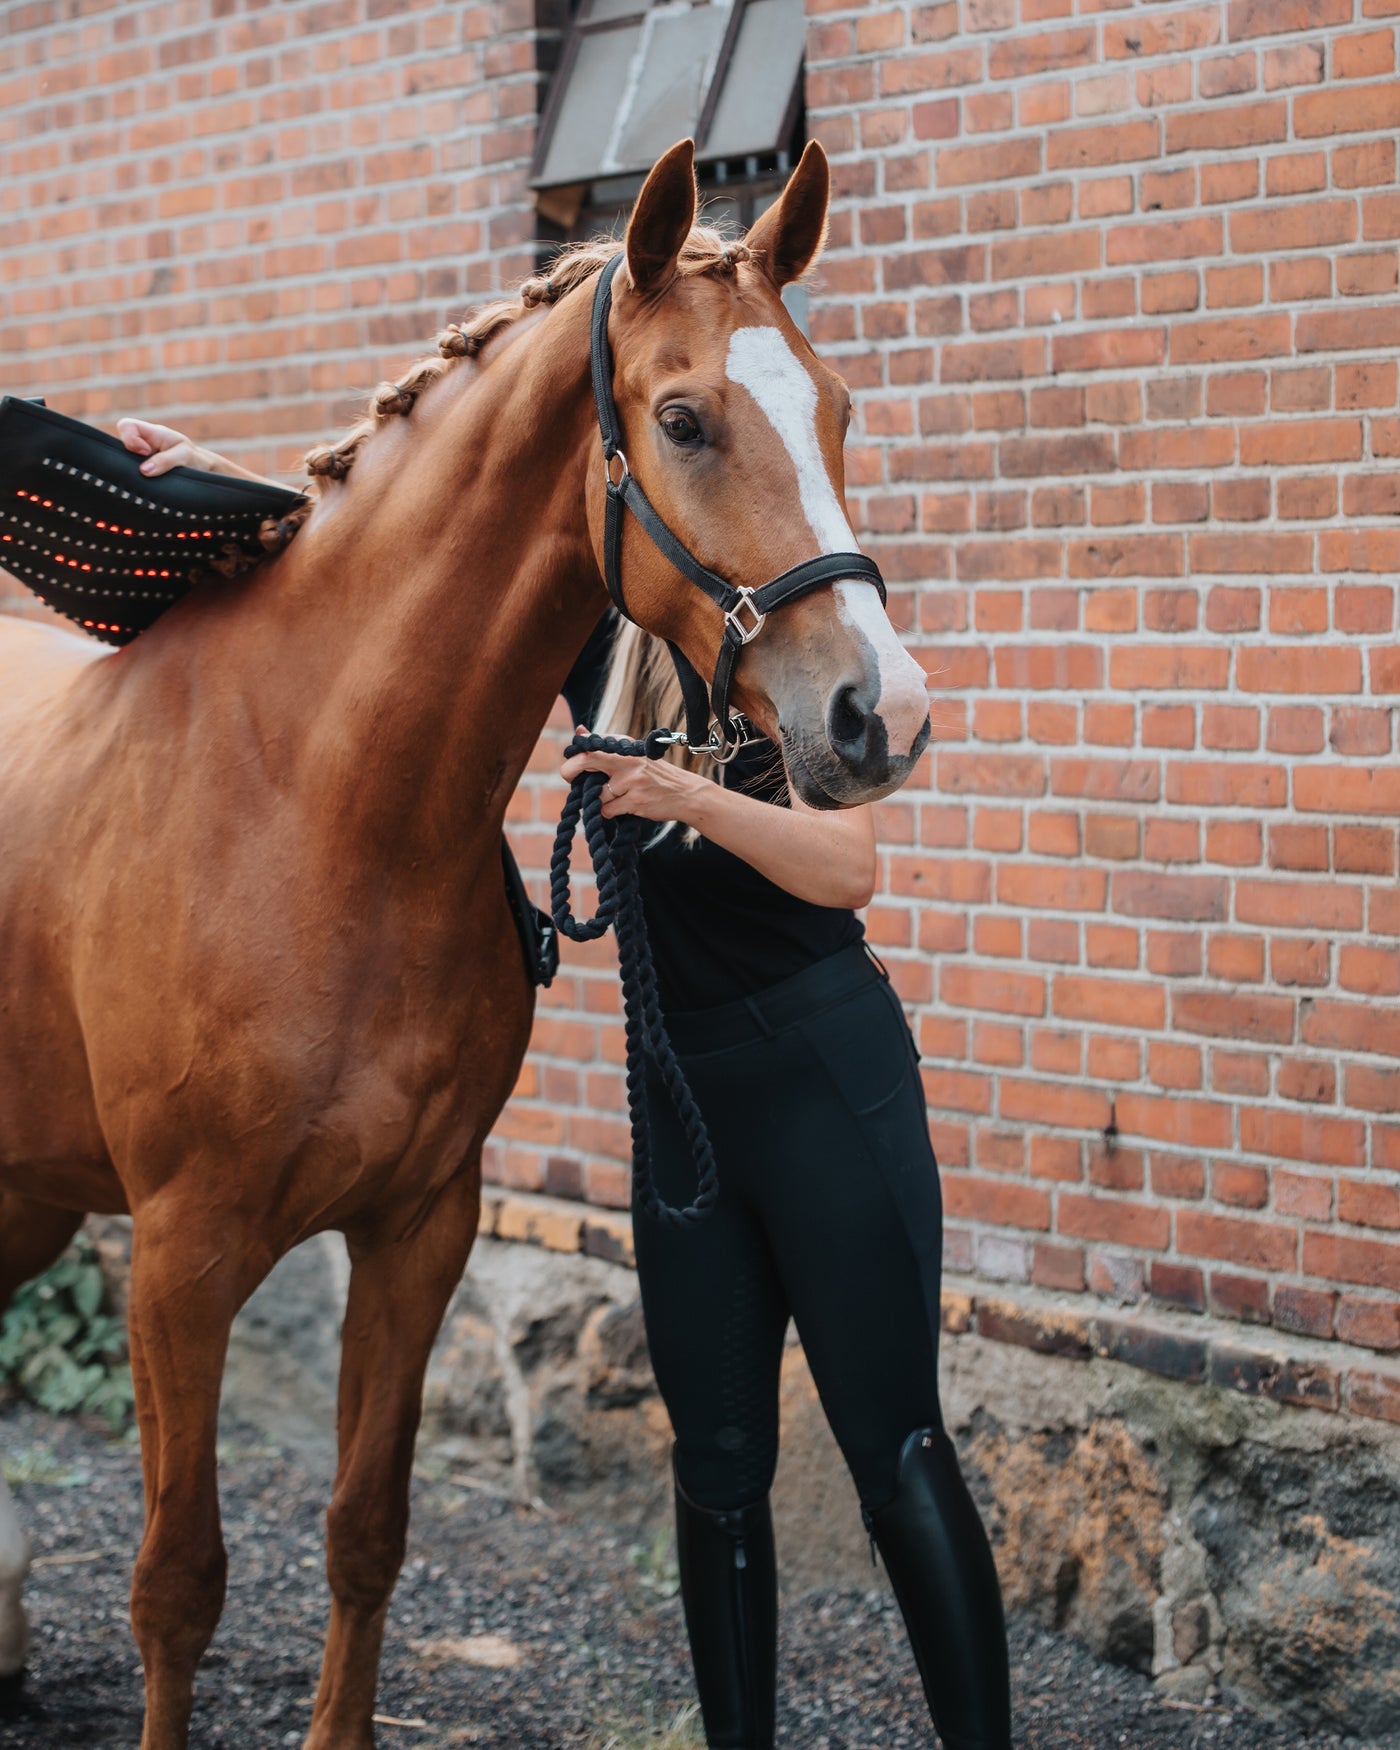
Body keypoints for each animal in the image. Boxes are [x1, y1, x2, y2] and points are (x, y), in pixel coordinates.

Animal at [0, 137, 931, 1749]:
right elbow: (177, 1578)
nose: (881, 714)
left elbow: (365, 1532)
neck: (320, 808)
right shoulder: (178, 1256)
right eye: (682, 418)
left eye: (838, 409)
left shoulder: (420, 1226)